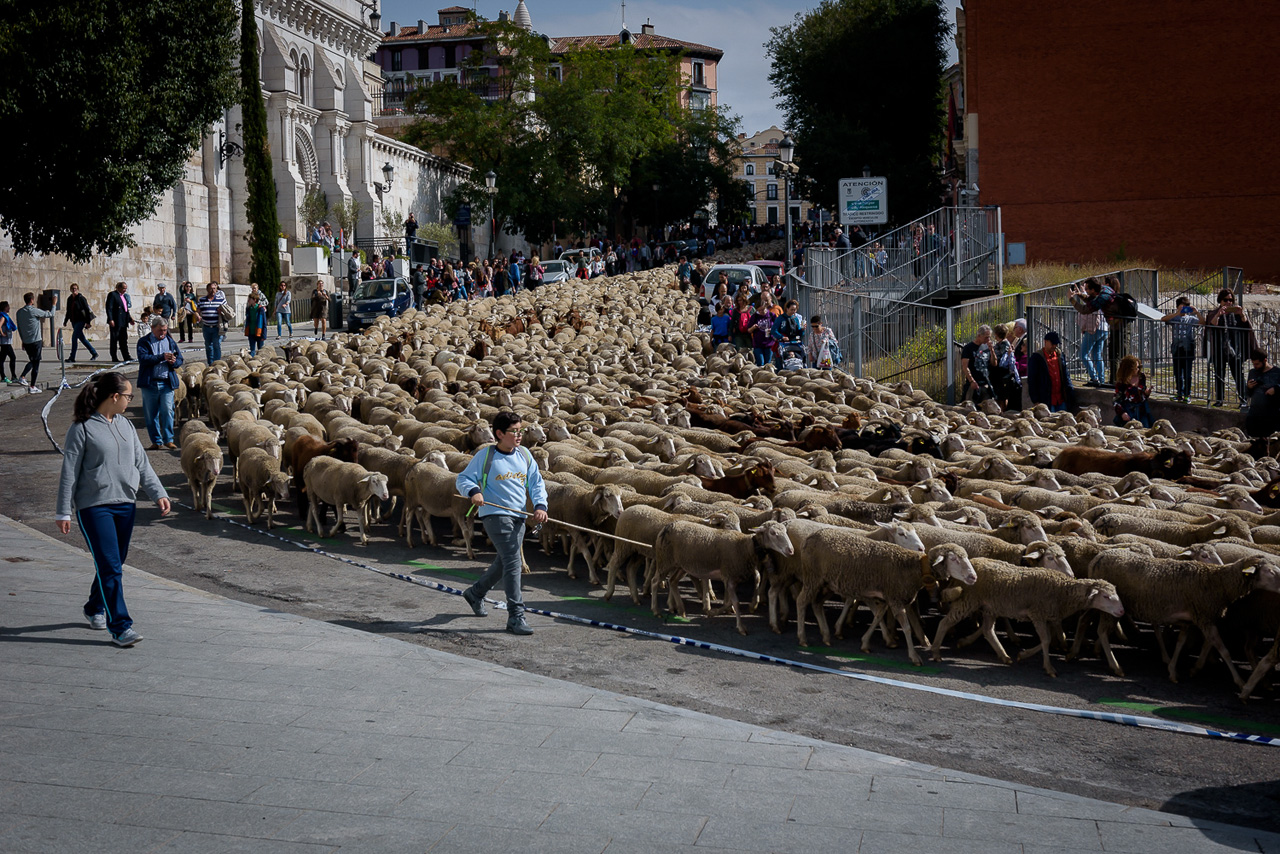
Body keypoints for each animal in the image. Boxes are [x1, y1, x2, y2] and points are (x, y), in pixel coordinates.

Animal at [655, 522, 793, 635]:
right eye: (773, 533)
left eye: (786, 531)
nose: (791, 550)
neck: (744, 546)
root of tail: (668, 526)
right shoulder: (729, 577)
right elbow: (735, 602)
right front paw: (741, 627)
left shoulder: (733, 577)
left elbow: (730, 602)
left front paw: (713, 612)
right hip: (665, 560)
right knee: (655, 581)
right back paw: (656, 611)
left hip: (681, 565)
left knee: (672, 581)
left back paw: (681, 610)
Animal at [931, 560, 1121, 681]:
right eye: (1105, 596)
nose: (1122, 611)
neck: (1063, 592)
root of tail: (972, 562)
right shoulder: (1037, 614)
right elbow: (1046, 640)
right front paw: (1049, 668)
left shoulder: (1047, 616)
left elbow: (1047, 639)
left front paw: (1024, 654)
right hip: (969, 600)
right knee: (945, 623)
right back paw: (936, 652)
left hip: (990, 606)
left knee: (988, 630)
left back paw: (1003, 655)